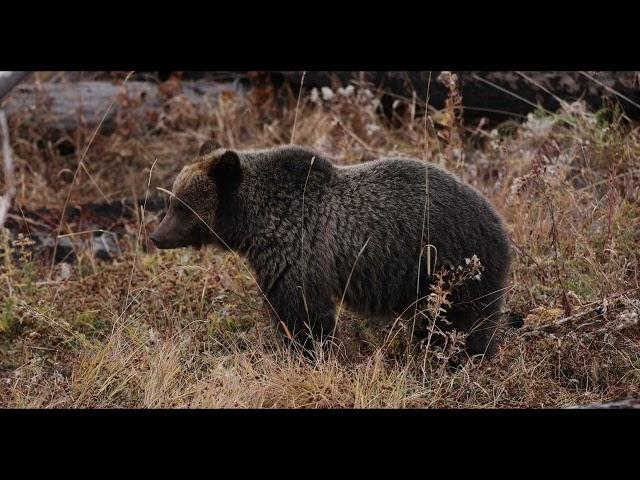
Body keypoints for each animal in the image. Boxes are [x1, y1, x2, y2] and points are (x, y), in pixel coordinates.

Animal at [149, 143, 510, 360]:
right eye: (172, 200)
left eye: (182, 205)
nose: (156, 236)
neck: (256, 222)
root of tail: (499, 222)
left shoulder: (298, 251)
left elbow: (304, 313)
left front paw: (307, 353)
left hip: (449, 262)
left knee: (460, 322)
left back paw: (458, 358)